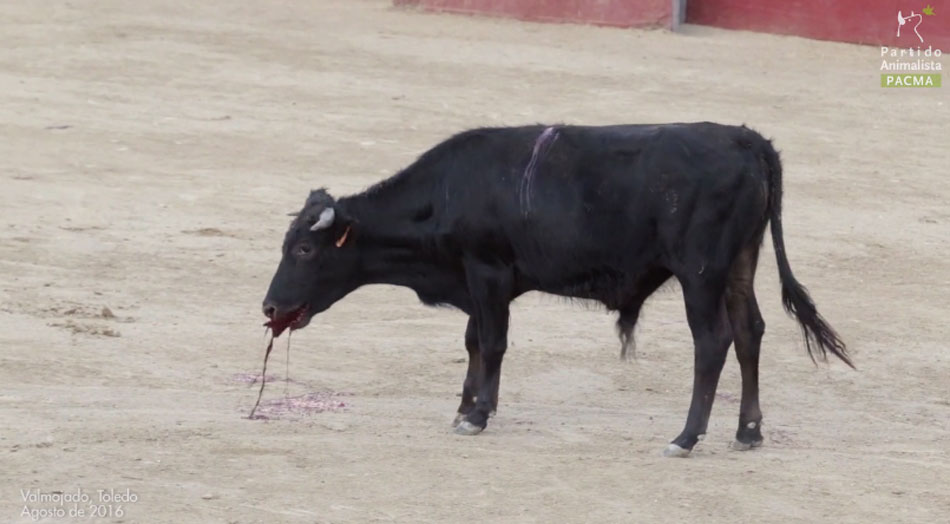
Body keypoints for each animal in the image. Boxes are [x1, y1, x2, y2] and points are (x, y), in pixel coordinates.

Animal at [262, 122, 856, 454]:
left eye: (304, 250)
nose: (269, 306)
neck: (447, 191)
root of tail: (746, 140)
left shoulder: (488, 272)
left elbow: (492, 342)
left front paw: (476, 414)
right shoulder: (477, 279)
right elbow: (474, 341)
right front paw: (467, 405)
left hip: (700, 272)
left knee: (713, 342)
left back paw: (686, 437)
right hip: (740, 263)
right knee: (751, 331)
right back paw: (748, 431)